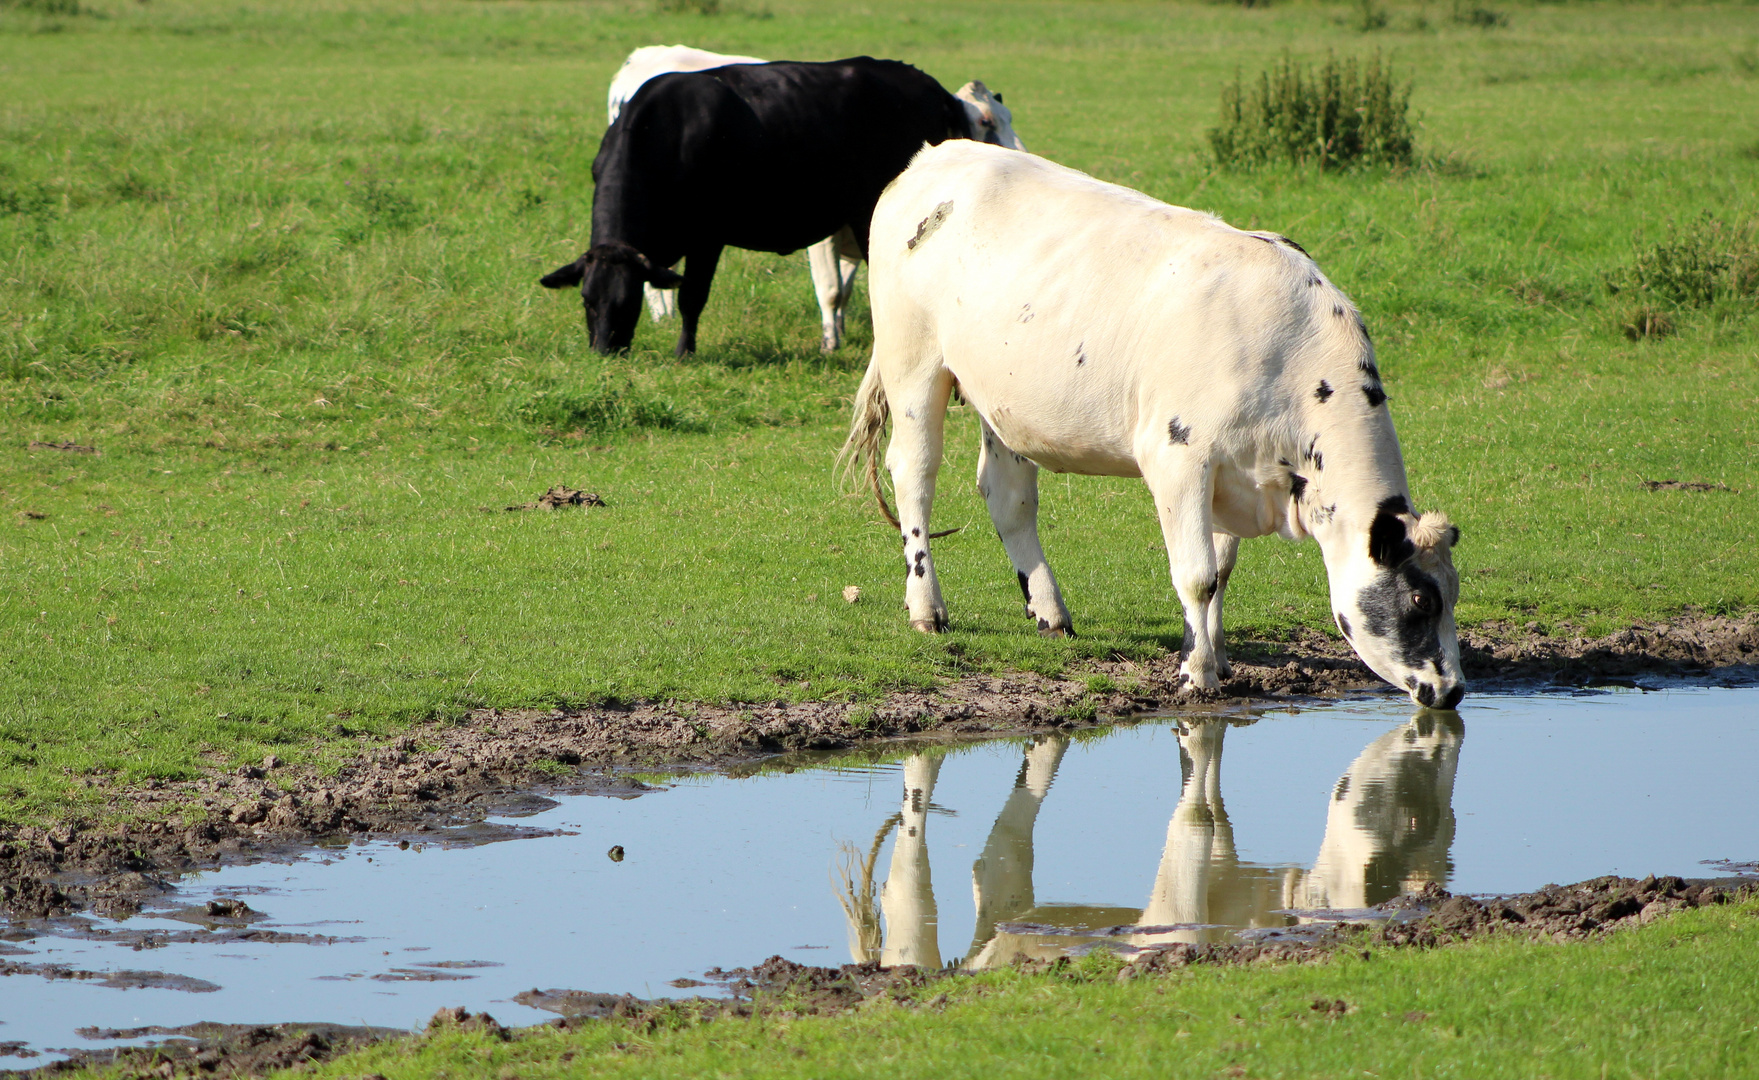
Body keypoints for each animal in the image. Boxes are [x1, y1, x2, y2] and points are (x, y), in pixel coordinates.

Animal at [538, 57, 978, 355]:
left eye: (626, 302)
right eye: (586, 300)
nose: (604, 351)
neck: (664, 133)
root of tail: (931, 87)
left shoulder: (707, 237)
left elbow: (691, 297)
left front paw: (684, 352)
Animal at [844, 139, 1463, 710]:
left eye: (1454, 593)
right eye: (1420, 601)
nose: (1454, 689)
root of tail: (937, 154)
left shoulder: (1236, 471)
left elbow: (1223, 568)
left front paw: (1216, 654)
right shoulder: (1177, 455)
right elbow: (1197, 574)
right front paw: (1197, 673)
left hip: (1002, 398)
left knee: (1008, 498)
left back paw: (1049, 612)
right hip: (913, 363)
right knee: (915, 474)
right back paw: (926, 606)